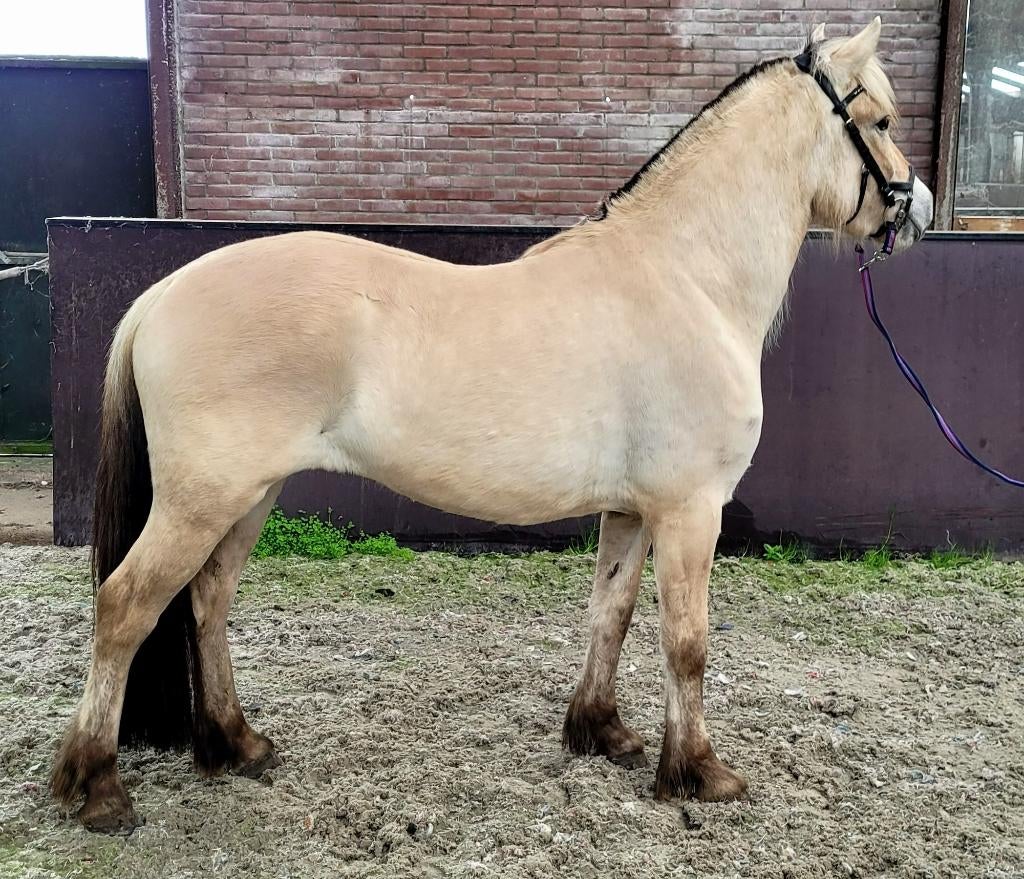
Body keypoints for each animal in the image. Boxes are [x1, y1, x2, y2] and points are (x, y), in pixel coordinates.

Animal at [52, 18, 933, 833]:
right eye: (883, 121)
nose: (918, 207)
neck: (687, 277)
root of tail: (163, 294)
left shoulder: (631, 510)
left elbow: (610, 613)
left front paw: (602, 733)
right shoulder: (690, 510)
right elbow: (687, 641)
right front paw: (701, 772)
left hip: (249, 496)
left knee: (208, 599)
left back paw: (235, 744)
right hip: (203, 498)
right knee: (125, 607)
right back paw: (98, 787)